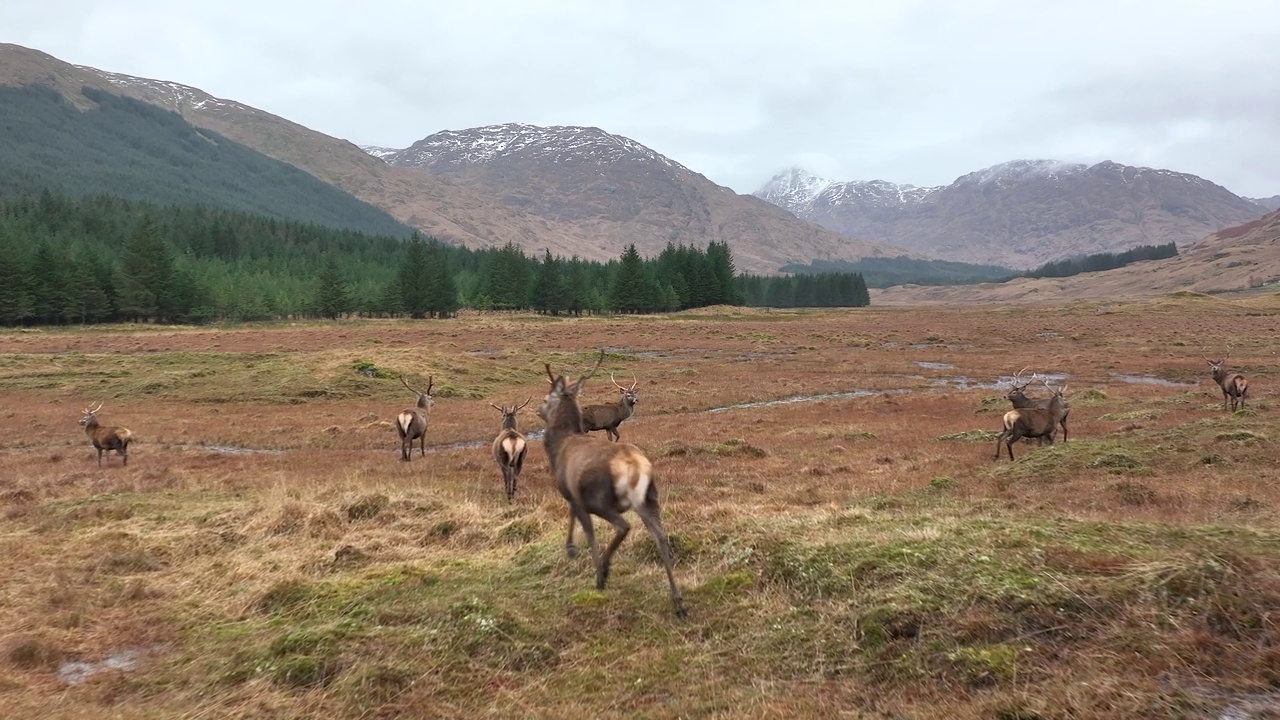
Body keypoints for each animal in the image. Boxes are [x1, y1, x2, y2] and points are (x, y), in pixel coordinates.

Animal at [540, 348, 691, 617]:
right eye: (626, 394)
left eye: (548, 398)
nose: (635, 400)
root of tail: (634, 465)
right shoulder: (607, 427)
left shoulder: (575, 491)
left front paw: (575, 551)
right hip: (643, 499)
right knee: (659, 539)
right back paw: (677, 602)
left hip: (608, 500)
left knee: (627, 528)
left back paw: (605, 573)